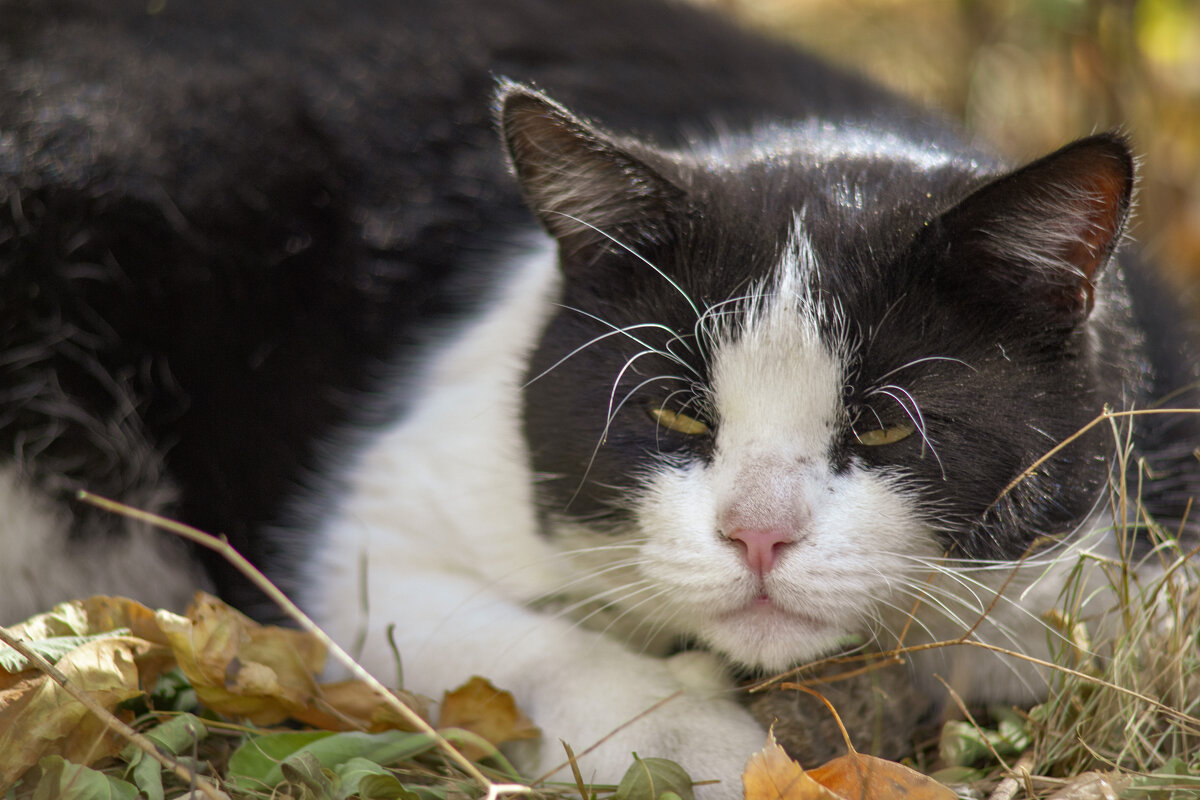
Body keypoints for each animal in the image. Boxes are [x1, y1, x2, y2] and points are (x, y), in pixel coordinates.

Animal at [2, 0, 1200, 791]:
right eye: (676, 408)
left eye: (880, 421)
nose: (757, 533)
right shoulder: (371, 529)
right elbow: (519, 640)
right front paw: (713, 750)